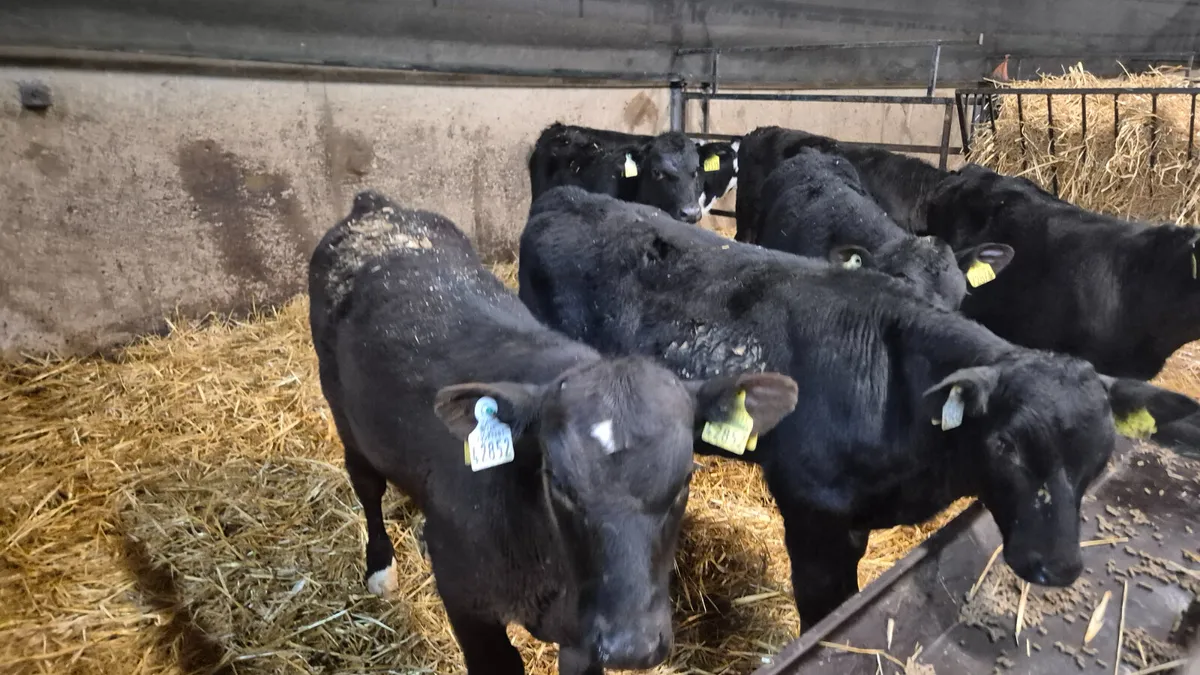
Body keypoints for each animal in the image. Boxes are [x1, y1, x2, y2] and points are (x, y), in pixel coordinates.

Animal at [308, 190, 798, 673]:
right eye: (559, 483)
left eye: (683, 482)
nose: (631, 646)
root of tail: (377, 206)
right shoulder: (468, 606)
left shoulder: (583, 639)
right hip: (343, 414)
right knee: (367, 485)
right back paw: (379, 566)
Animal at [518, 186, 1200, 630]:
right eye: (1005, 445)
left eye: (1102, 456)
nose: (1056, 566)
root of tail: (566, 195)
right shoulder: (815, 513)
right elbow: (826, 610)